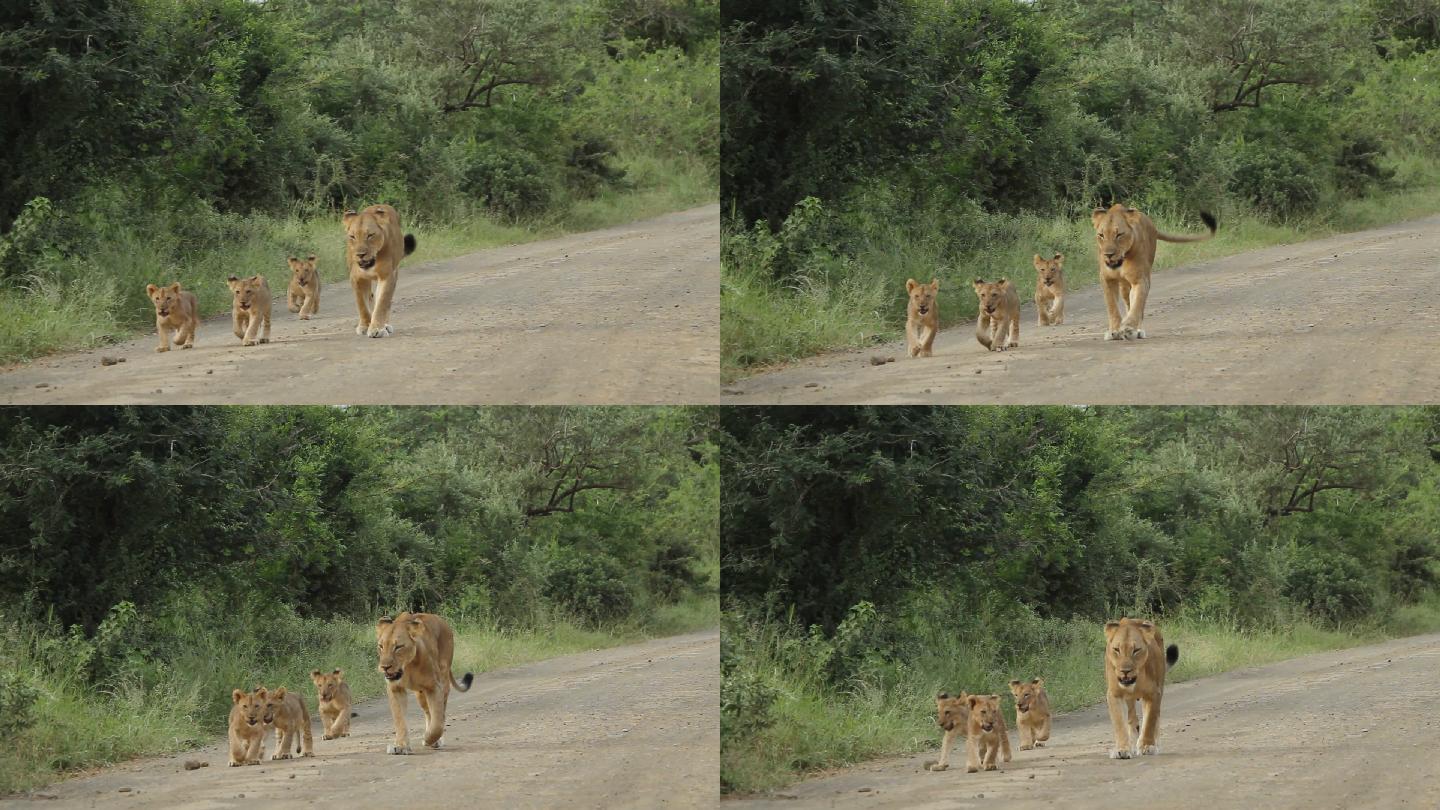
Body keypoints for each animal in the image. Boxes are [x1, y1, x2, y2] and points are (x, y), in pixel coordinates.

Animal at [344, 206, 417, 338]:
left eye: (370, 235)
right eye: (352, 236)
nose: (360, 255)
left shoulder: (387, 276)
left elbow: (382, 302)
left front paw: (377, 328)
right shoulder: (356, 278)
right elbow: (361, 304)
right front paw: (364, 326)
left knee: (384, 302)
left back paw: (385, 325)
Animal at [377, 608, 472, 755]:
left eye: (398, 647)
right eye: (381, 646)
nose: (385, 667)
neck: (407, 667)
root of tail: (443, 622)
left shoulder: (434, 687)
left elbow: (438, 723)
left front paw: (429, 739)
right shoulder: (395, 688)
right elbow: (399, 719)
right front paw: (401, 746)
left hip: (443, 680)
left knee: (440, 713)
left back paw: (434, 740)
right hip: (420, 693)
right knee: (428, 712)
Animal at [1088, 204, 1215, 340]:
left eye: (1119, 235)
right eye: (1101, 235)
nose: (1108, 255)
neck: (1122, 261)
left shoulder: (1140, 280)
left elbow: (1137, 305)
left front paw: (1129, 328)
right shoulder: (1107, 279)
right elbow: (1112, 307)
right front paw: (1115, 330)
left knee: (1137, 306)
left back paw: (1137, 330)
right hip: (1124, 286)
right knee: (1127, 301)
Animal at [1100, 616, 1180, 755]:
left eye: (1136, 650)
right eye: (1116, 649)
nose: (1125, 671)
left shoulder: (1154, 693)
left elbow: (1150, 721)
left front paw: (1147, 746)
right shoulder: (1114, 694)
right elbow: (1119, 722)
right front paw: (1122, 749)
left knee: (1155, 717)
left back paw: (1154, 744)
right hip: (1130, 699)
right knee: (1132, 719)